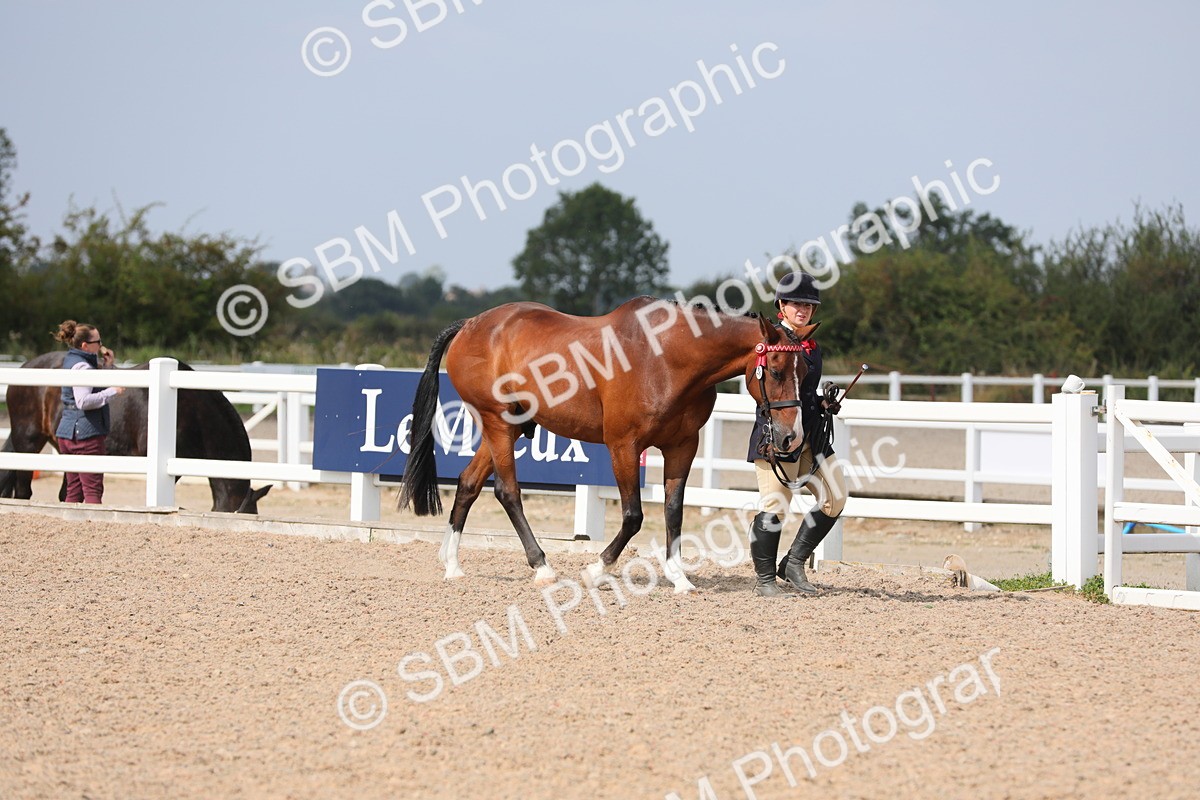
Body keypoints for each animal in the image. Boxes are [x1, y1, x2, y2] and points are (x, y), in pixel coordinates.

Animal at [399, 295, 816, 593]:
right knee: (507, 491)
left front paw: (679, 577)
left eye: (806, 372)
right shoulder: (624, 446)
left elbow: (674, 511)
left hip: (510, 427)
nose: (791, 436)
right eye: (776, 370)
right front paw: (596, 570)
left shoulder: (682, 446)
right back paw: (542, 567)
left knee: (469, 483)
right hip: (498, 423)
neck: (666, 358)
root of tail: (470, 325)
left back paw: (453, 565)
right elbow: (634, 516)